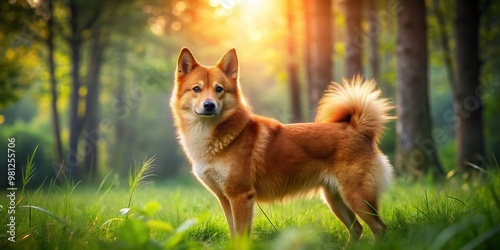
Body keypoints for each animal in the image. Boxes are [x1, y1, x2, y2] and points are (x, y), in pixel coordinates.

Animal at [170, 47, 392, 241]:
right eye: (196, 89)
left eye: (219, 89)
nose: (209, 105)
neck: (214, 137)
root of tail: (357, 128)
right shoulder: (225, 199)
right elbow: (233, 234)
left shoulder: (240, 196)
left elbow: (241, 235)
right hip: (335, 199)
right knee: (357, 229)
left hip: (356, 196)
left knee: (379, 227)